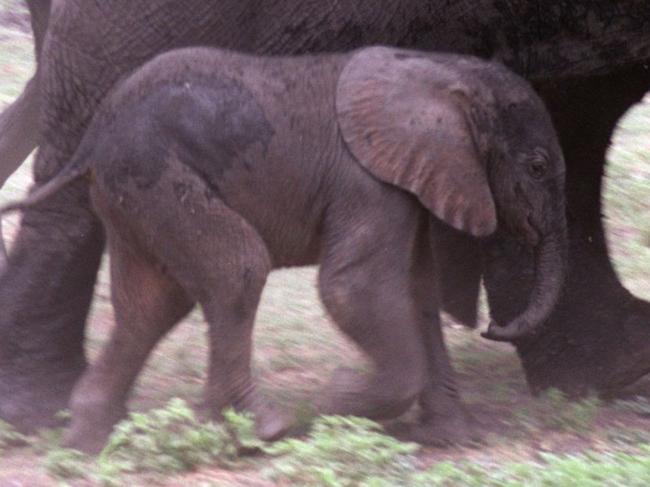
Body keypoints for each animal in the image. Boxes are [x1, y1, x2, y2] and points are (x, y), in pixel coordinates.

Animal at [0, 0, 644, 434]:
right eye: (535, 166)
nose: (490, 327)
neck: (438, 73)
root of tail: (96, 141)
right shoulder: (366, 183)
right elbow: (354, 289)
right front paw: (336, 408)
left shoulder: (408, 183)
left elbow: (416, 290)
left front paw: (452, 436)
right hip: (157, 173)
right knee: (236, 269)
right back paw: (262, 427)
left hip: (136, 191)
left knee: (153, 302)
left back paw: (89, 434)